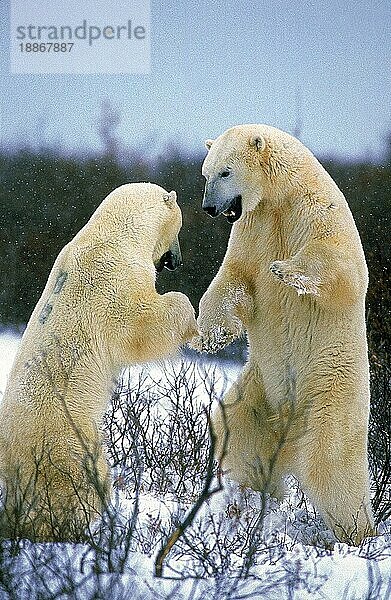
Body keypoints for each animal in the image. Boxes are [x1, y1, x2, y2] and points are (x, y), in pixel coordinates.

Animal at [0, 183, 196, 544]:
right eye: (179, 228)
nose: (176, 261)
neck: (113, 234)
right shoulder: (112, 278)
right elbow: (141, 325)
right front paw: (189, 316)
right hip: (67, 441)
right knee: (83, 482)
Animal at [194, 123, 378, 544]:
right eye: (205, 173)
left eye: (225, 171)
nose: (209, 208)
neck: (279, 197)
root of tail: (288, 430)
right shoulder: (252, 227)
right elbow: (234, 279)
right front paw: (207, 337)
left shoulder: (315, 210)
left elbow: (339, 265)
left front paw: (285, 270)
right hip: (256, 394)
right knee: (235, 436)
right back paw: (247, 500)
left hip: (331, 394)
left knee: (333, 467)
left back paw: (357, 534)